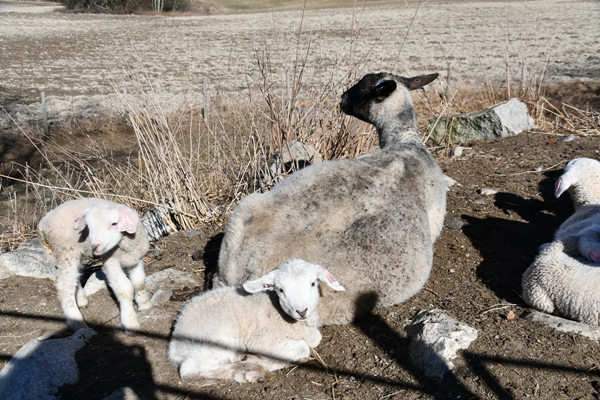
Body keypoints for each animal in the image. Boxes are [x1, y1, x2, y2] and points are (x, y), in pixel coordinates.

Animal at [38, 198, 152, 332]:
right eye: (88, 226)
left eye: (114, 224)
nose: (94, 247)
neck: (125, 246)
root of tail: (43, 221)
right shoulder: (110, 262)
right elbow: (125, 290)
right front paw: (130, 322)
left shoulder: (136, 258)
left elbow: (139, 283)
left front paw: (144, 305)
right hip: (65, 251)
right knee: (65, 287)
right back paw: (79, 325)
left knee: (73, 278)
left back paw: (81, 300)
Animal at [169, 260, 346, 388]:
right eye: (281, 290)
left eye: (313, 283)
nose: (301, 311)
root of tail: (174, 346)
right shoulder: (261, 339)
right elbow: (303, 348)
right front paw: (263, 361)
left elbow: (315, 339)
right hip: (217, 341)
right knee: (190, 372)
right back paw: (249, 371)